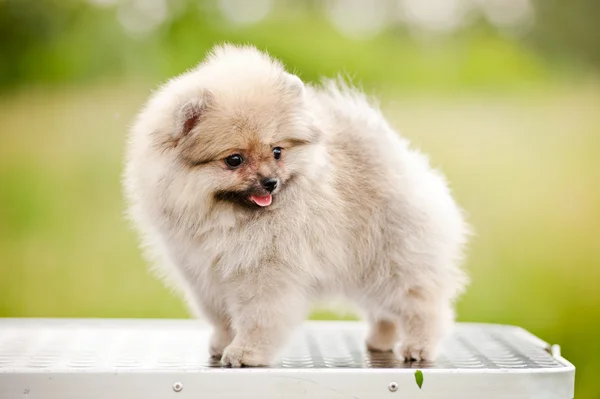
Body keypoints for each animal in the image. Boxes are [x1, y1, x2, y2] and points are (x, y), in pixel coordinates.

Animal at [122, 44, 468, 368]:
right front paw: (222, 343)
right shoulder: (204, 275)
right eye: (234, 160)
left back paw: (419, 346)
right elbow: (221, 317)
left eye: (277, 151)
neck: (226, 217)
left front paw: (246, 352)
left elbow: (258, 317)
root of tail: (400, 156)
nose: (270, 182)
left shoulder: (263, 271)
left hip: (395, 259)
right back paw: (381, 339)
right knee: (384, 308)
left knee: (421, 303)